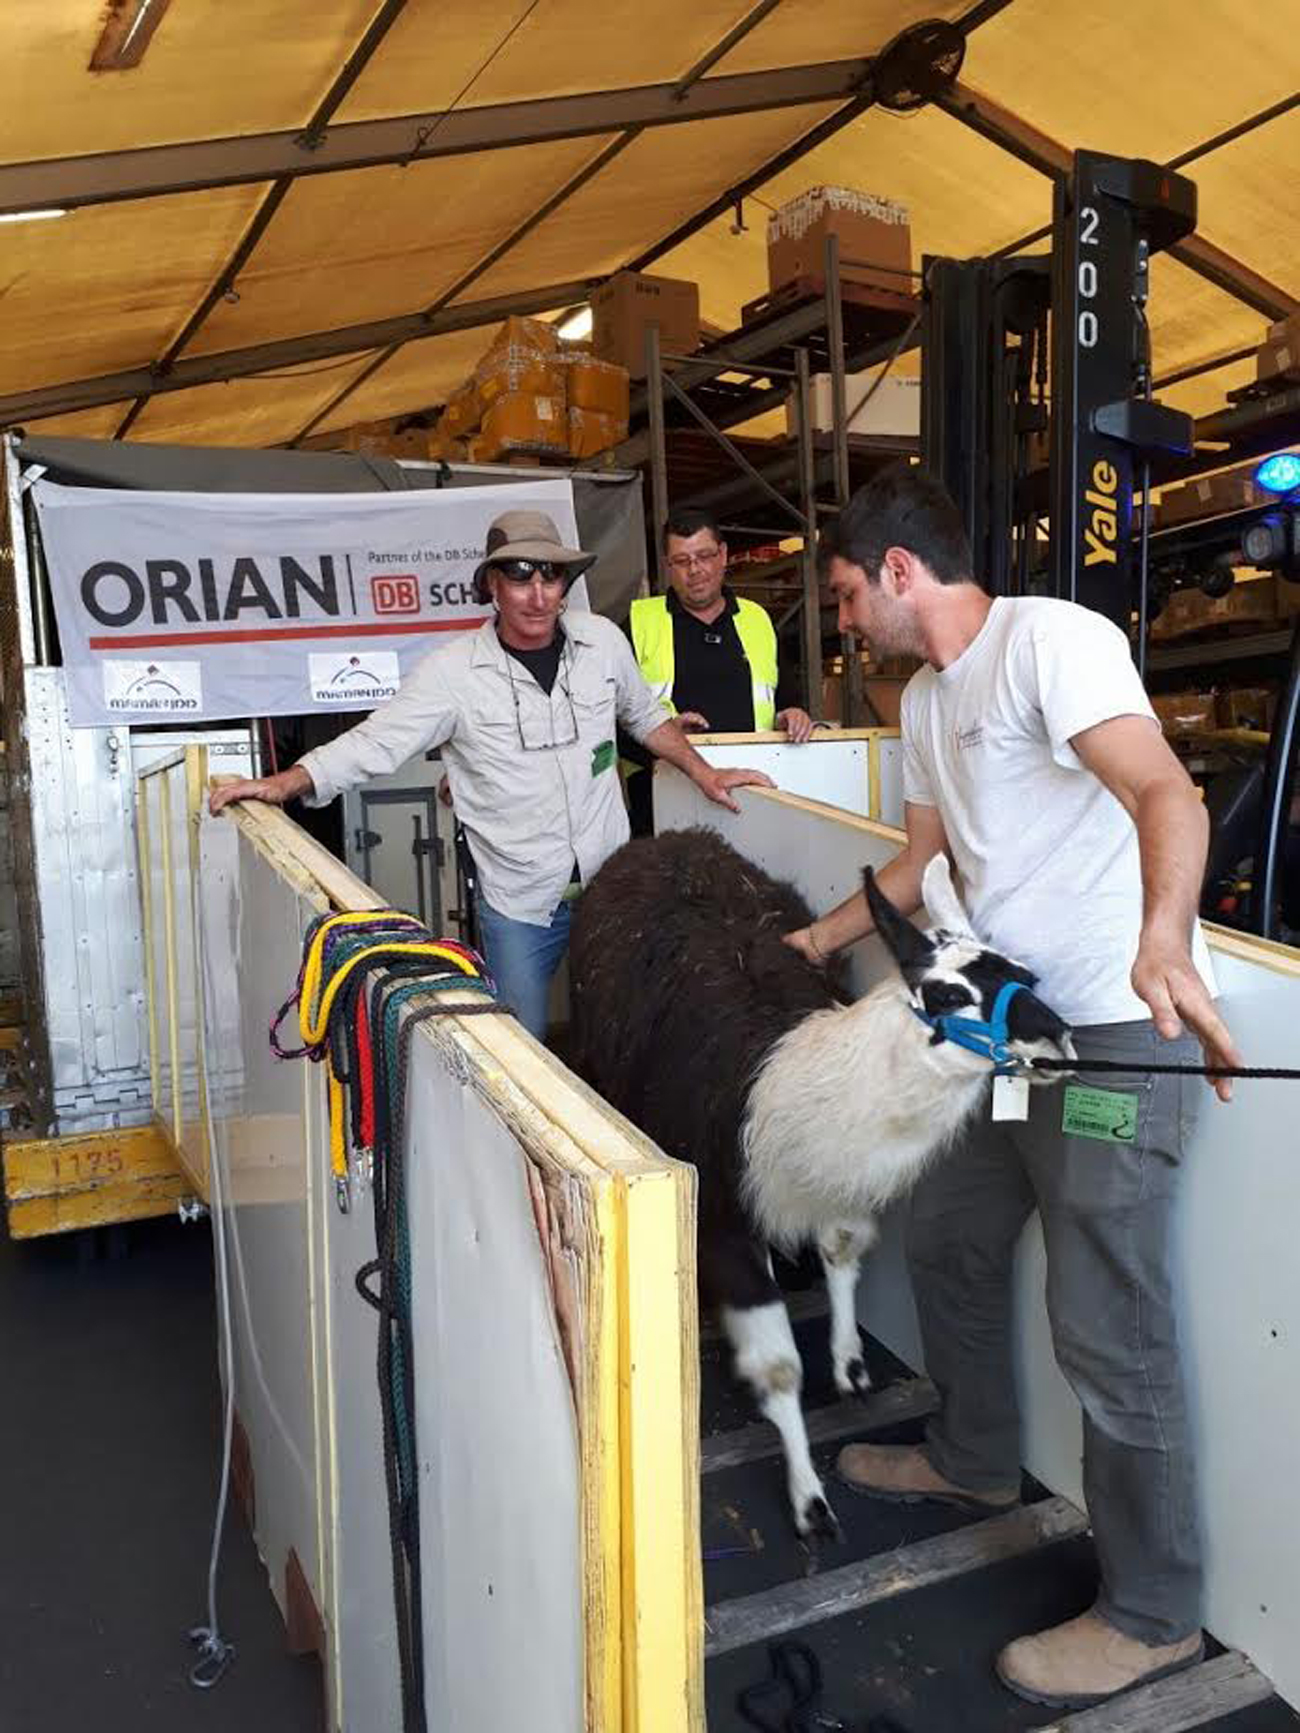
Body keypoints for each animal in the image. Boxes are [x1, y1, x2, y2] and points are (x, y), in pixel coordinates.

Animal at [568, 826, 1074, 1538]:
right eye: (948, 995)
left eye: (1026, 977)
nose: (1060, 1039)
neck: (784, 1092)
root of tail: (665, 837)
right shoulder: (722, 1214)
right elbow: (780, 1369)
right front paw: (810, 1502)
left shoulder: (829, 1186)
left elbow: (841, 1251)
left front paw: (849, 1364)